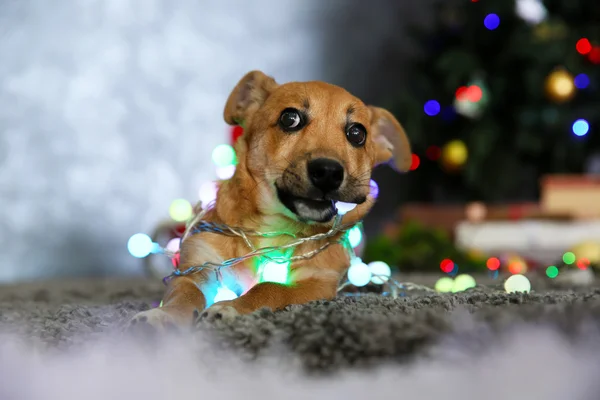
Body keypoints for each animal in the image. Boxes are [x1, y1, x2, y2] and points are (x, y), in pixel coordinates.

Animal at [128, 70, 410, 330]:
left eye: (357, 133)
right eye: (290, 118)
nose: (329, 172)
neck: (276, 229)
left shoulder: (317, 282)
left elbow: (270, 286)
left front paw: (231, 307)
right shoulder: (196, 268)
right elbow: (184, 294)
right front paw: (163, 315)